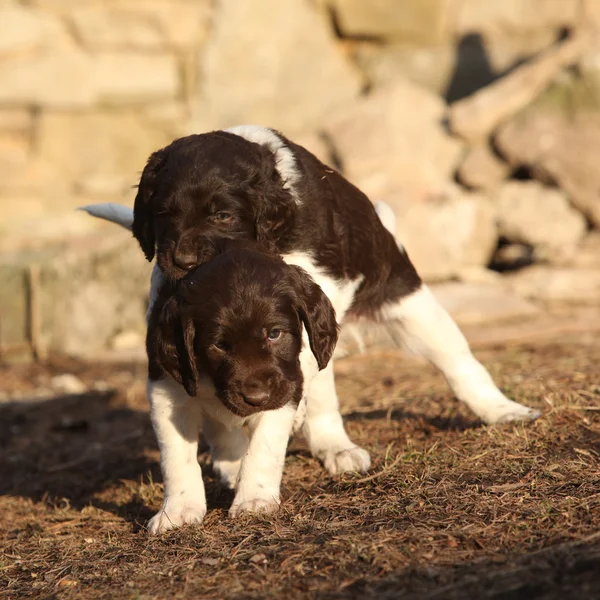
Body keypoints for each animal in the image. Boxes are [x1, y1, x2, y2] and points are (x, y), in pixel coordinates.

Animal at [145, 241, 356, 532]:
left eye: (274, 334)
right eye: (219, 345)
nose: (256, 398)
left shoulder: (284, 391)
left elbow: (263, 446)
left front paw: (254, 499)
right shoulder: (167, 390)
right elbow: (177, 456)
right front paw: (177, 510)